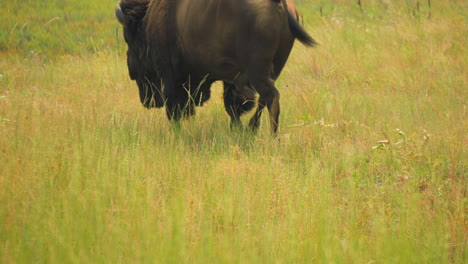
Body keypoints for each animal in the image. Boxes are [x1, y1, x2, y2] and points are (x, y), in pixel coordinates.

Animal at [115, 0, 316, 133]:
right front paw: (234, 128)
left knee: (270, 97)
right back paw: (252, 129)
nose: (131, 70)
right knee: (264, 99)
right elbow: (232, 105)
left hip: (257, 71)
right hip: (272, 69)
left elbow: (174, 107)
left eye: (129, 37)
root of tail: (278, 3)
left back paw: (268, 135)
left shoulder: (170, 74)